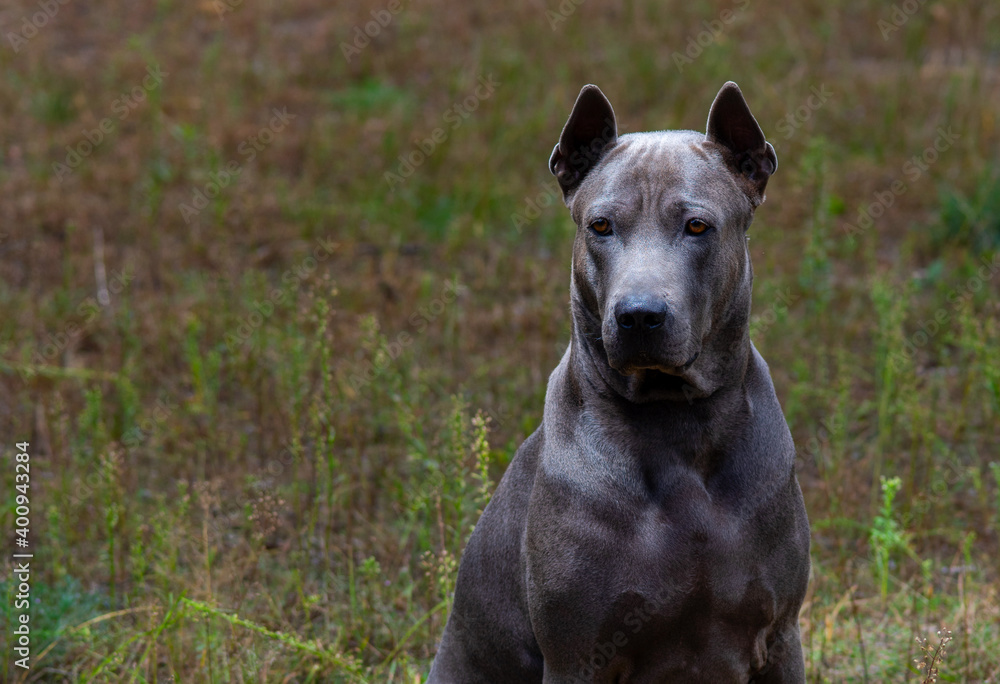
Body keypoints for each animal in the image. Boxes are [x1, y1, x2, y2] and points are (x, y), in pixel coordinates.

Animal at [428, 83, 812, 680]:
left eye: (697, 226)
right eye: (601, 226)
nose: (639, 316)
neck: (678, 425)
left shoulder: (779, 636)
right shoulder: (577, 656)